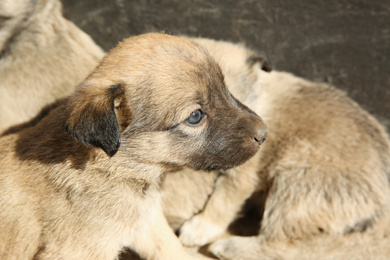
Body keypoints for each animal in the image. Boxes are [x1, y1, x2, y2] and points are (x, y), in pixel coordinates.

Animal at [0, 33, 268, 258]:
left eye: (225, 89)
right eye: (195, 116)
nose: (264, 133)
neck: (115, 170)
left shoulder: (147, 224)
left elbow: (173, 249)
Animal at [160, 37, 390, 258]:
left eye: (231, 99)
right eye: (195, 115)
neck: (259, 96)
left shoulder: (243, 173)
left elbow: (224, 197)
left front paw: (199, 228)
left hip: (294, 183)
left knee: (282, 246)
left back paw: (227, 247)